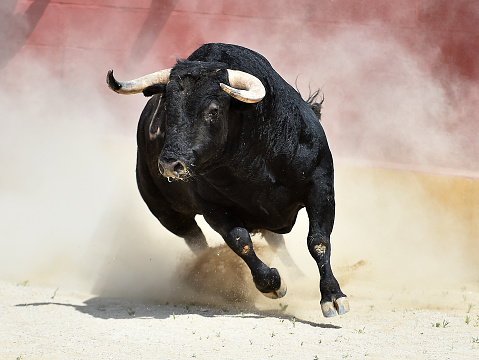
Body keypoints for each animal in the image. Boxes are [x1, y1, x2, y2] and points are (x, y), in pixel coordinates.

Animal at [107, 43, 350, 318]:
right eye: (167, 110)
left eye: (213, 111)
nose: (170, 164)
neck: (252, 159)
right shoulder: (213, 208)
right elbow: (240, 241)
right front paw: (272, 284)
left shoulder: (320, 185)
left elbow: (318, 240)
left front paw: (333, 296)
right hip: (169, 215)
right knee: (199, 243)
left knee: (277, 242)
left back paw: (300, 278)